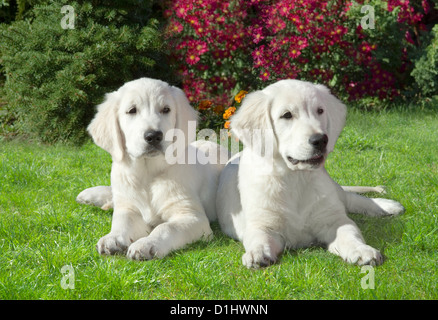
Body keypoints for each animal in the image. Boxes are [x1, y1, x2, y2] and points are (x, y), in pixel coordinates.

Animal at [79, 77, 226, 260]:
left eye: (166, 109)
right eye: (132, 110)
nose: (153, 136)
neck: (147, 173)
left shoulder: (193, 216)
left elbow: (166, 227)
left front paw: (146, 244)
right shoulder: (129, 207)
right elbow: (122, 221)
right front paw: (113, 238)